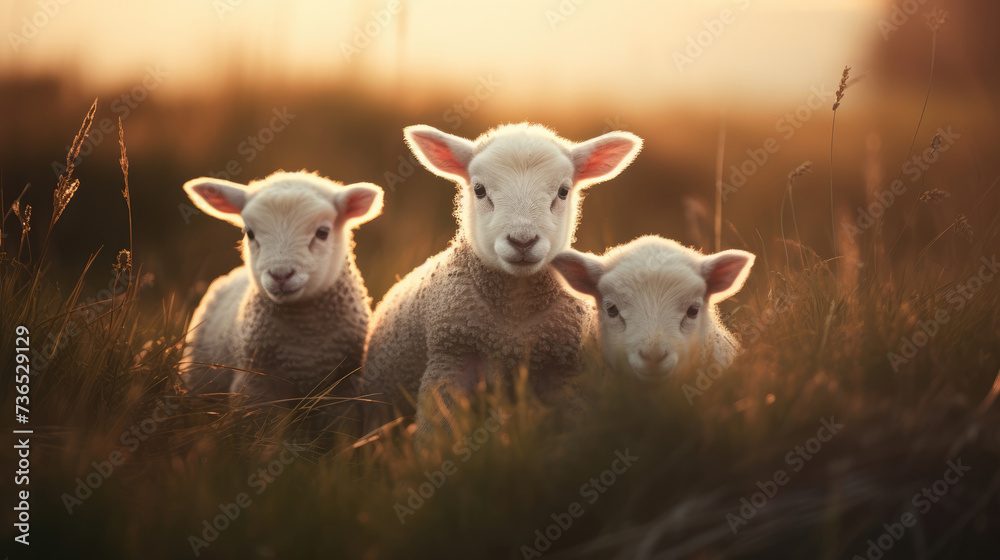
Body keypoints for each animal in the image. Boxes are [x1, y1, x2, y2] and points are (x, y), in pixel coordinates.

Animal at [364, 123, 644, 438]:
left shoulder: (566, 371)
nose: (522, 241)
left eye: (563, 191)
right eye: (479, 189)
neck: (514, 319)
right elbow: (437, 430)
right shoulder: (450, 356)